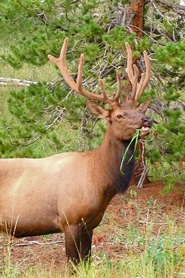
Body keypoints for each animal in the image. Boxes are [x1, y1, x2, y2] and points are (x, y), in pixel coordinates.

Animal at [0, 38, 152, 262]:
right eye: (119, 116)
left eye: (139, 109)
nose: (147, 119)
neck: (99, 181)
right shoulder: (69, 220)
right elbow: (73, 263)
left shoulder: (91, 224)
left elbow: (86, 261)